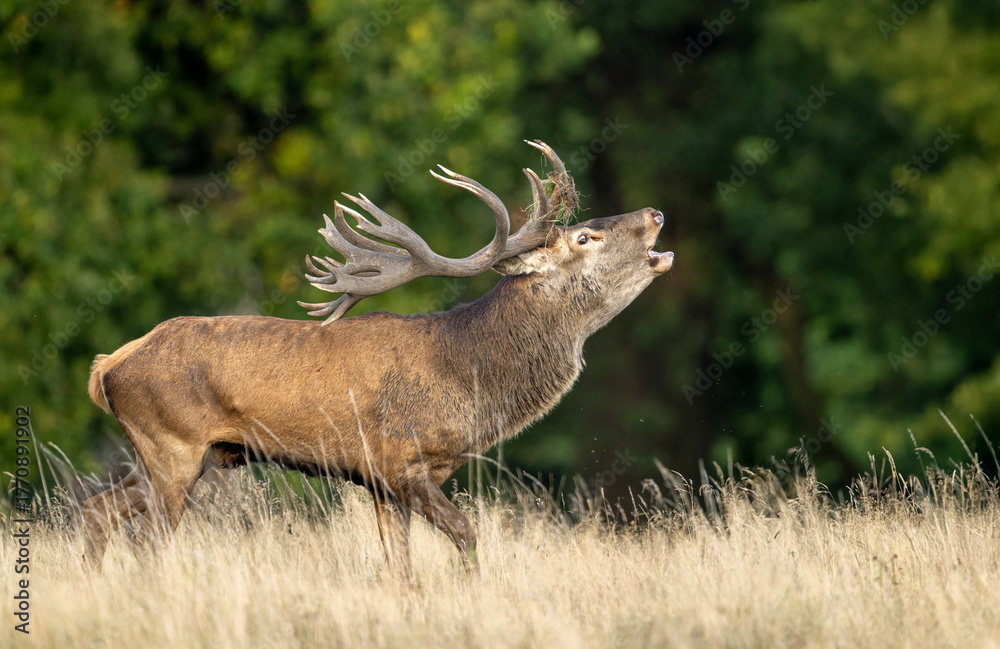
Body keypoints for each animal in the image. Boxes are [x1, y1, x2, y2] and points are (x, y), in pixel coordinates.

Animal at [82, 140, 674, 575]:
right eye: (585, 237)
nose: (656, 212)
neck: (467, 375)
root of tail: (107, 366)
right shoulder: (397, 460)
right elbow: (466, 534)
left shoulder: (382, 482)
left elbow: (400, 568)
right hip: (173, 445)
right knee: (145, 542)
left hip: (178, 454)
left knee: (96, 510)